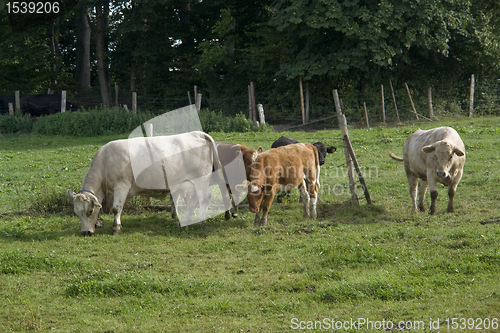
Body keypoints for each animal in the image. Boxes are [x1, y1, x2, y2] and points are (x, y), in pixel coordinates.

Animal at [66, 131, 227, 235]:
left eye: (90, 211)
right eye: (76, 213)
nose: (86, 232)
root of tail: (196, 134)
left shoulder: (122, 186)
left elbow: (117, 209)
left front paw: (116, 228)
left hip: (200, 179)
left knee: (204, 198)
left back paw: (199, 221)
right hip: (188, 183)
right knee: (193, 201)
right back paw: (185, 221)